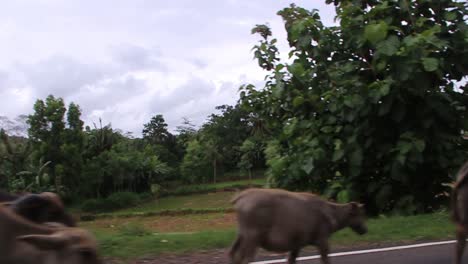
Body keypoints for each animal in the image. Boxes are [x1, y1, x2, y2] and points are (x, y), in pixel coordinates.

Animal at [229, 188, 368, 264]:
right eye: (359, 214)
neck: (332, 216)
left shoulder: (297, 244)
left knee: (233, 255)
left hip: (242, 234)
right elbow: (325, 259)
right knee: (245, 259)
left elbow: (291, 260)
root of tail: (240, 198)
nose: (365, 230)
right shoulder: (322, 239)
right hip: (253, 236)